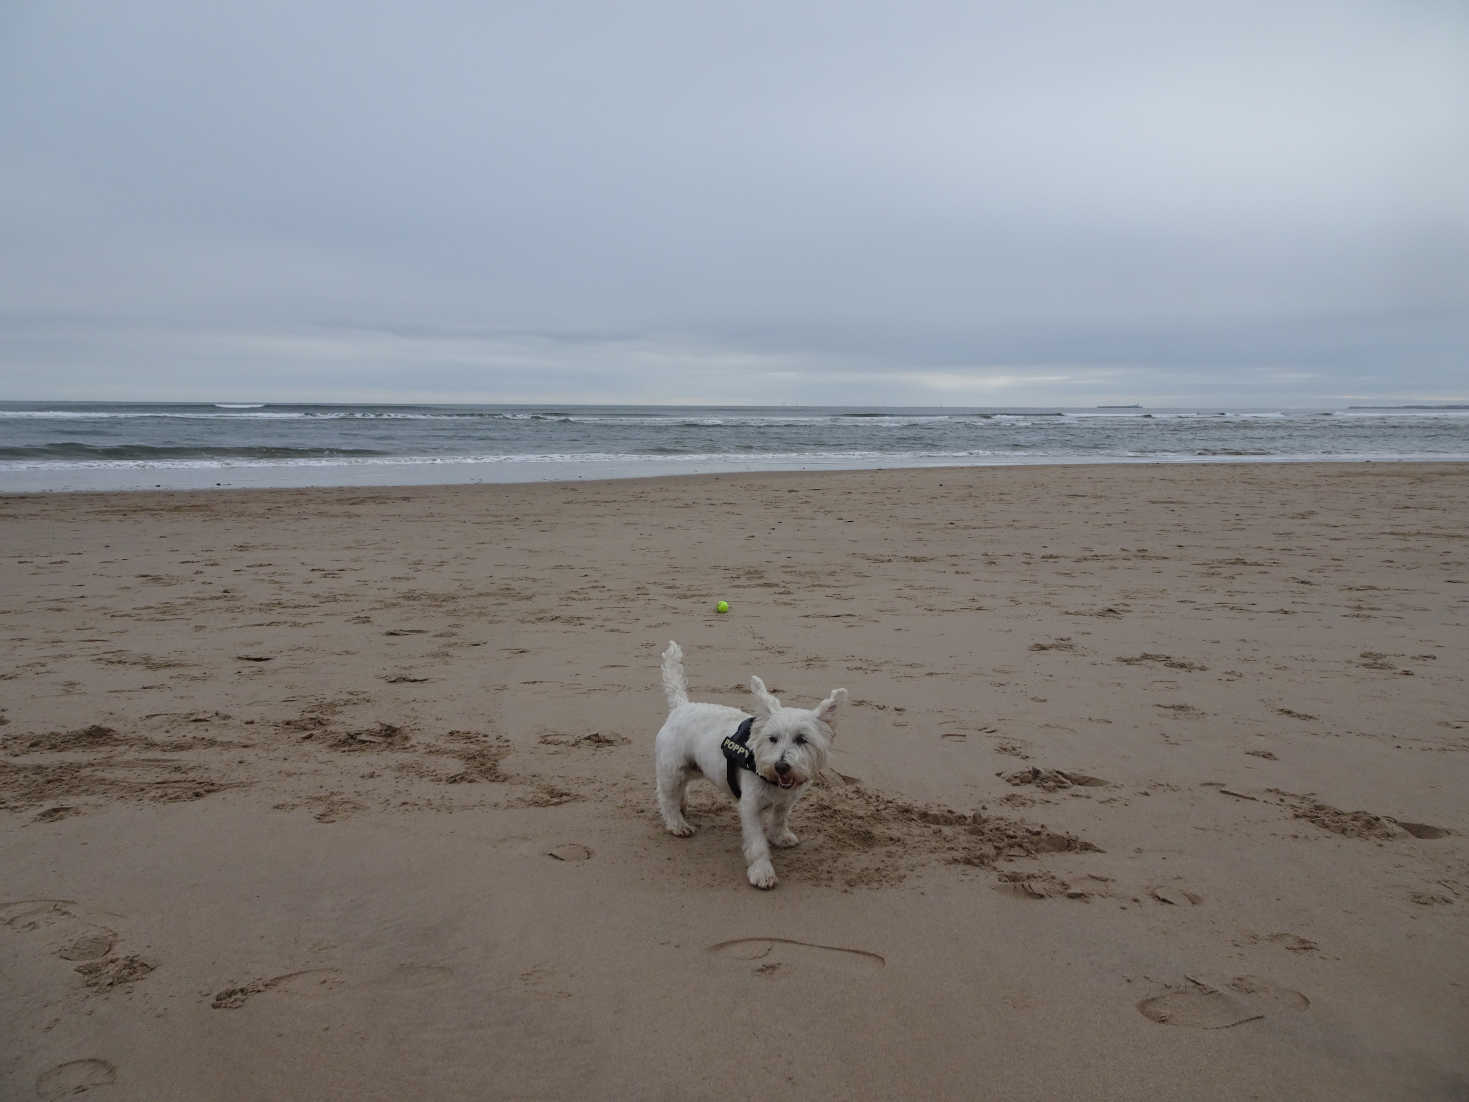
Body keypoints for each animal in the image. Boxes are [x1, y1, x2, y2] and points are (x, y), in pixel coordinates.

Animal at [658, 643, 852, 893]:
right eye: (772, 738)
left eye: (802, 739)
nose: (781, 766)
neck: (773, 780)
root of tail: (681, 706)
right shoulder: (749, 807)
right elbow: (758, 843)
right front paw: (762, 872)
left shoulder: (786, 801)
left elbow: (779, 819)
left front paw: (780, 837)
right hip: (672, 769)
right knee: (667, 798)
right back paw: (677, 823)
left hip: (692, 767)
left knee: (681, 790)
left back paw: (682, 807)